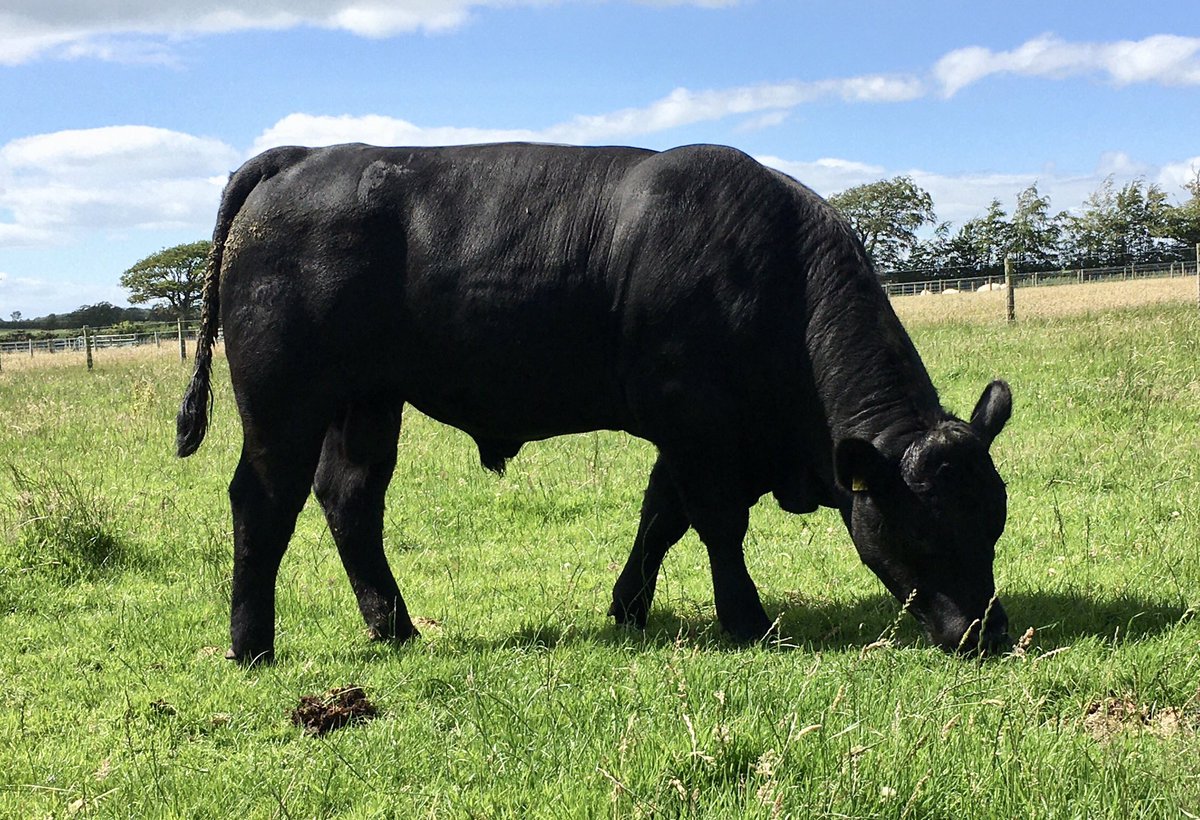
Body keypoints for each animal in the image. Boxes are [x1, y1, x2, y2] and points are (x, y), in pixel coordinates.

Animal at [176, 142, 1013, 664]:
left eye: (995, 524)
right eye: (923, 529)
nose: (988, 633)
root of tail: (300, 157)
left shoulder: (690, 436)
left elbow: (661, 518)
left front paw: (628, 608)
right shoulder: (699, 426)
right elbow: (716, 524)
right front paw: (747, 620)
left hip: (366, 402)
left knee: (349, 500)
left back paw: (398, 628)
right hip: (283, 400)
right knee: (263, 502)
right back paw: (253, 646)